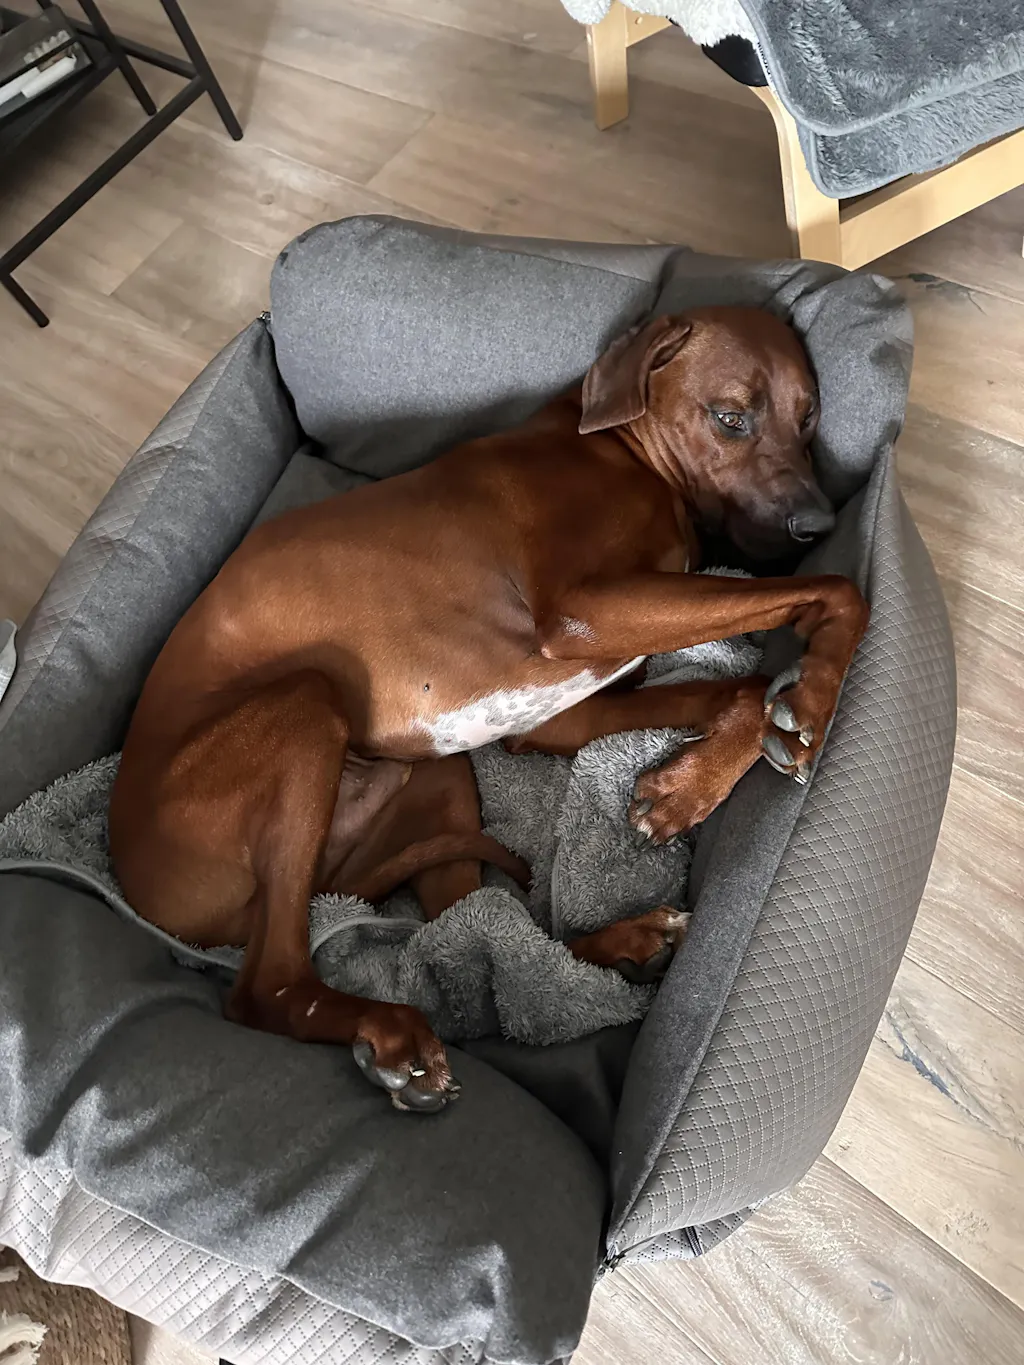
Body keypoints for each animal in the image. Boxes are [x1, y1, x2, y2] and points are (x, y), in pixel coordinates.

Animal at [109, 307, 869, 1112]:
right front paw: (807, 702)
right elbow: (840, 590)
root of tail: (140, 889)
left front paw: (695, 779)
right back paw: (389, 1032)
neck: (621, 450)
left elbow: (747, 687)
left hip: (435, 784)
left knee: (478, 947)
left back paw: (619, 944)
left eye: (809, 418)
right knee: (272, 987)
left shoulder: (559, 713)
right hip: (305, 705)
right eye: (731, 417)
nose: (819, 523)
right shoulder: (584, 614)